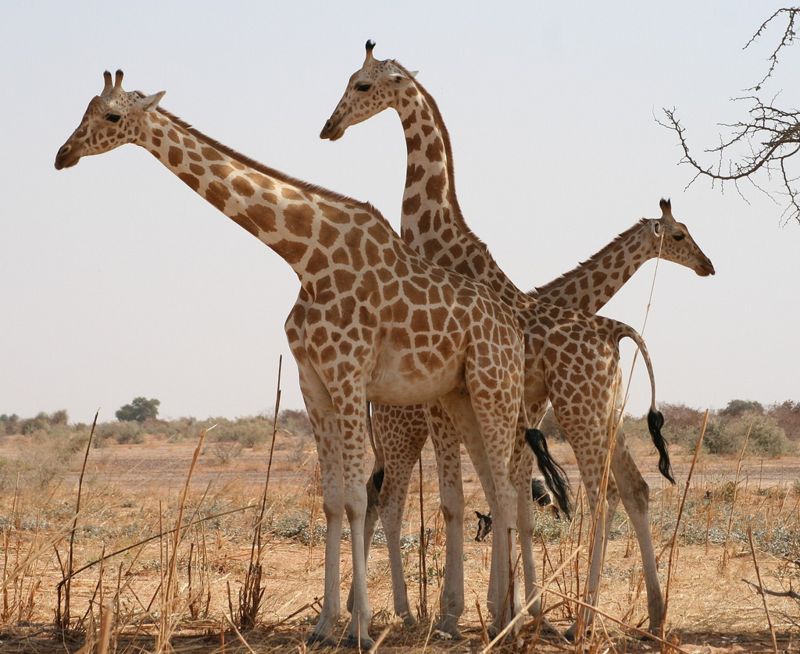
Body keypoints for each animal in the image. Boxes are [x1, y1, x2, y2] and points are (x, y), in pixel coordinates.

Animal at [54, 69, 535, 646]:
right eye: (85, 109)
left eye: (112, 116)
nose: (62, 154)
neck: (306, 254)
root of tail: (513, 328)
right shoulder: (314, 386)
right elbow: (331, 500)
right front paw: (325, 625)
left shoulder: (348, 378)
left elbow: (357, 497)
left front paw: (360, 628)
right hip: (459, 396)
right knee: (497, 489)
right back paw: (500, 617)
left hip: (493, 388)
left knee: (507, 489)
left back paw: (509, 621)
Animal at [321, 42, 693, 639]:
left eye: (361, 85)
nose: (329, 127)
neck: (439, 239)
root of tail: (615, 330)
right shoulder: (485, 408)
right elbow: (490, 500)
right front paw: (494, 609)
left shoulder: (497, 408)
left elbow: (496, 498)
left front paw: (492, 610)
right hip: (424, 428)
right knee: (388, 500)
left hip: (575, 415)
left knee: (612, 492)